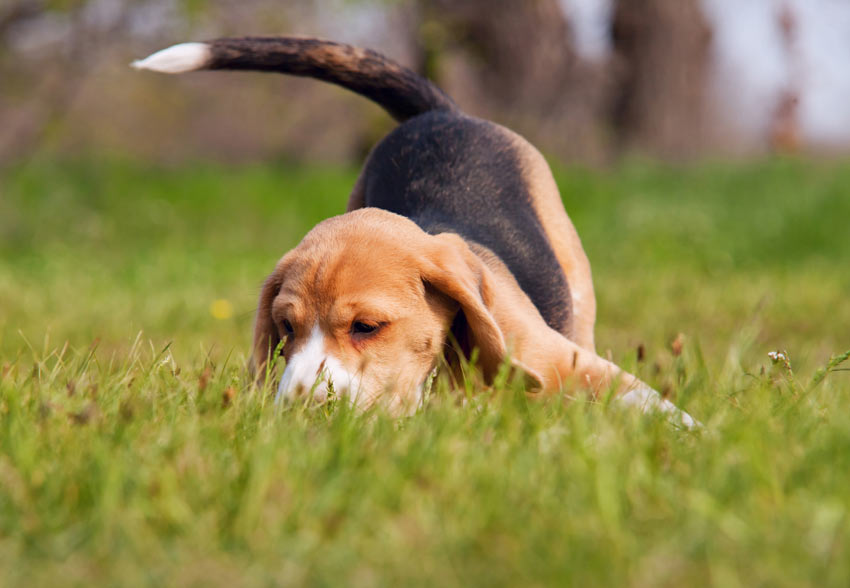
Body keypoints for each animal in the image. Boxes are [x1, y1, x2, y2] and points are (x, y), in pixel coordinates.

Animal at [131, 35, 688, 422]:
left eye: (367, 327)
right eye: (286, 327)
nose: (297, 409)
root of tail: (441, 114)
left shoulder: (572, 365)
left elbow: (654, 406)